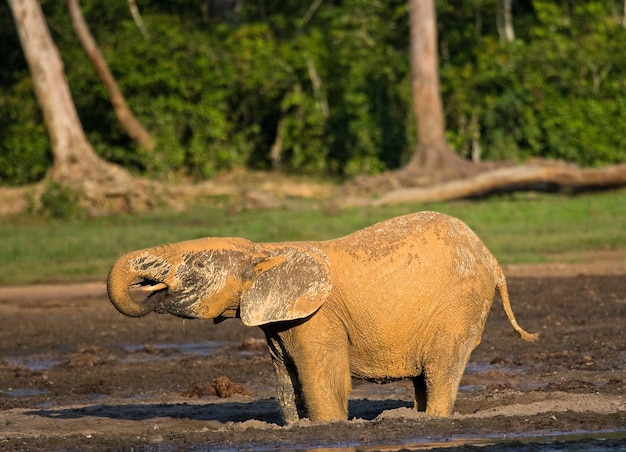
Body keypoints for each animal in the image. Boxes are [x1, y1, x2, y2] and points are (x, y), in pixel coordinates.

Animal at [107, 212, 536, 424]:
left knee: (441, 369)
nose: (149, 291)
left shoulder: (317, 318)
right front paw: (296, 427)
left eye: (196, 265)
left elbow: (321, 379)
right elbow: (286, 381)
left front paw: (327, 427)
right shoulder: (278, 322)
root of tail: (491, 258)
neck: (265, 251)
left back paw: (431, 421)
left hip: (458, 307)